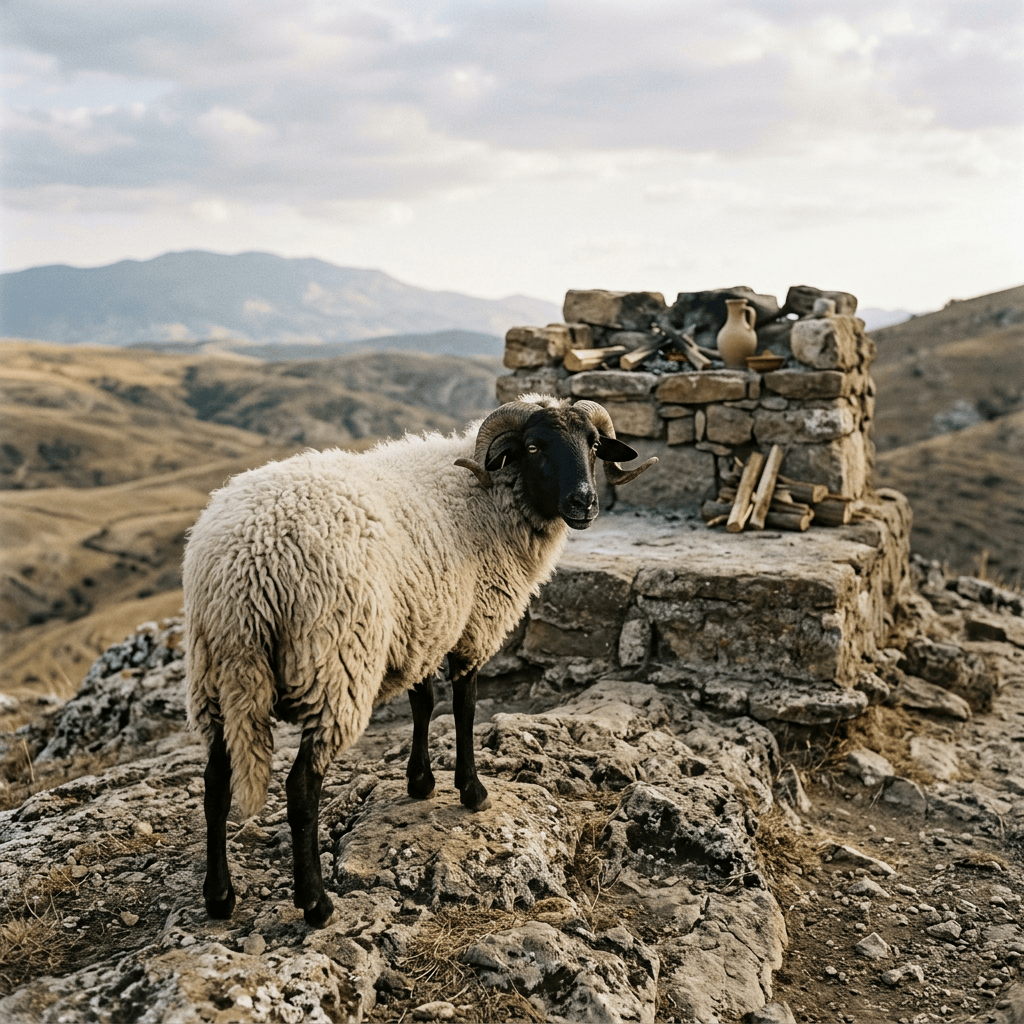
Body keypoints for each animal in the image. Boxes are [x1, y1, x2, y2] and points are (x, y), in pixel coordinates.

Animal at [183, 394, 657, 927]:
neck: (486, 493)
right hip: (333, 667)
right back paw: (316, 903)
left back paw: (219, 897)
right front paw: (472, 791)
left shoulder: (422, 625)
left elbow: (423, 703)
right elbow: (465, 708)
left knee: (215, 783)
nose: (584, 503)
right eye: (534, 446)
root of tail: (241, 566)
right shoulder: (473, 623)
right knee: (302, 787)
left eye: (594, 445)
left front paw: (421, 782)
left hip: (218, 676)